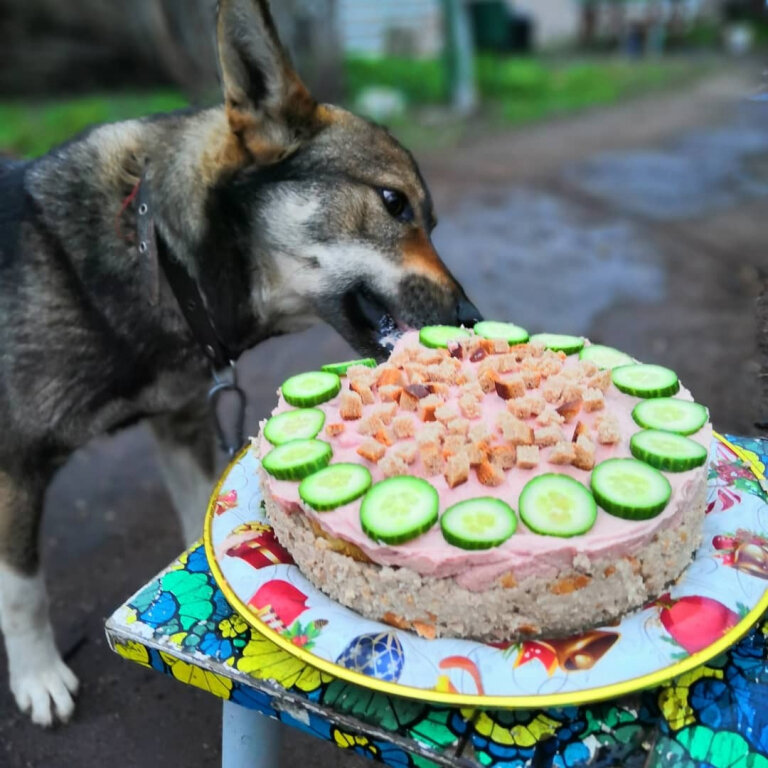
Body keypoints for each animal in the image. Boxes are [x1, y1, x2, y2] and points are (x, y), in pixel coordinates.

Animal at [0, 0, 480, 728]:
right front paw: (38, 678)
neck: (157, 256)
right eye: (394, 203)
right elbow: (22, 590)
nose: (473, 316)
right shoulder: (15, 464)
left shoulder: (179, 423)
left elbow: (198, 506)